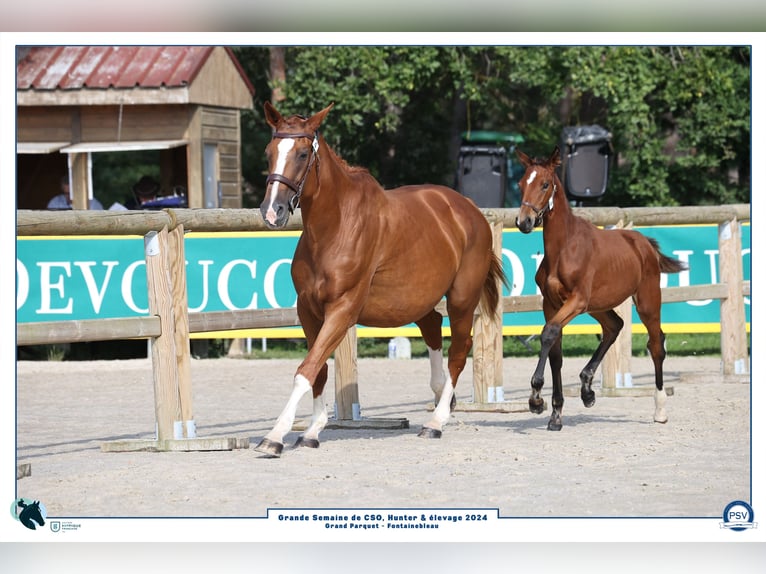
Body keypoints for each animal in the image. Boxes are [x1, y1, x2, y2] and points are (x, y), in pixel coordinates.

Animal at [255, 101, 508, 456]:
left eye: (303, 154)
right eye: (269, 152)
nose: (272, 211)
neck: (334, 228)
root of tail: (470, 211)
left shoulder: (342, 310)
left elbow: (307, 369)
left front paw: (275, 436)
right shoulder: (308, 310)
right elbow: (318, 370)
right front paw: (312, 431)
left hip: (461, 299)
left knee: (459, 350)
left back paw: (436, 421)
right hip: (418, 300)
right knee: (433, 328)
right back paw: (441, 398)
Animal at [516, 148, 688, 432]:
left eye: (545, 184)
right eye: (521, 184)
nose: (524, 222)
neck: (563, 249)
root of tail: (644, 243)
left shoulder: (576, 300)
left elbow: (548, 332)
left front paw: (536, 398)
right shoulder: (552, 304)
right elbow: (555, 350)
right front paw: (555, 414)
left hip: (647, 301)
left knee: (655, 344)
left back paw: (660, 410)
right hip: (598, 305)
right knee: (614, 326)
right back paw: (587, 389)